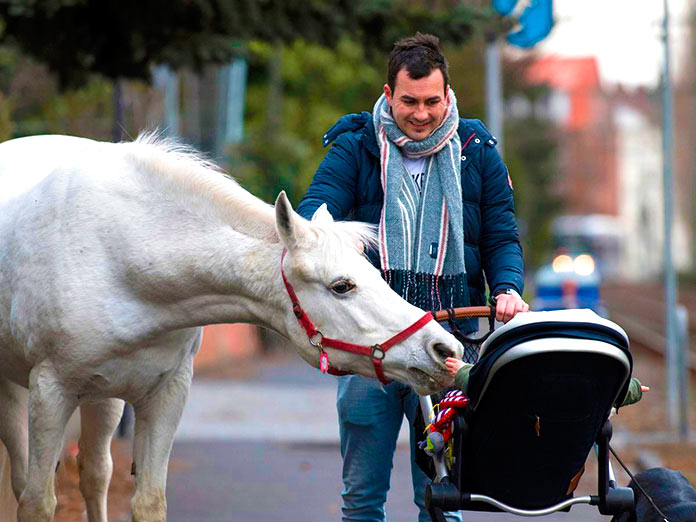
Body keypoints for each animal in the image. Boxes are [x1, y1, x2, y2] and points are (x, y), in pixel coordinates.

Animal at [0, 134, 462, 520]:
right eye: (342, 285)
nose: (444, 350)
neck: (120, 252)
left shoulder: (166, 394)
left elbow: (149, 501)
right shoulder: (51, 390)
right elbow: (37, 503)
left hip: (104, 397)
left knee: (94, 474)